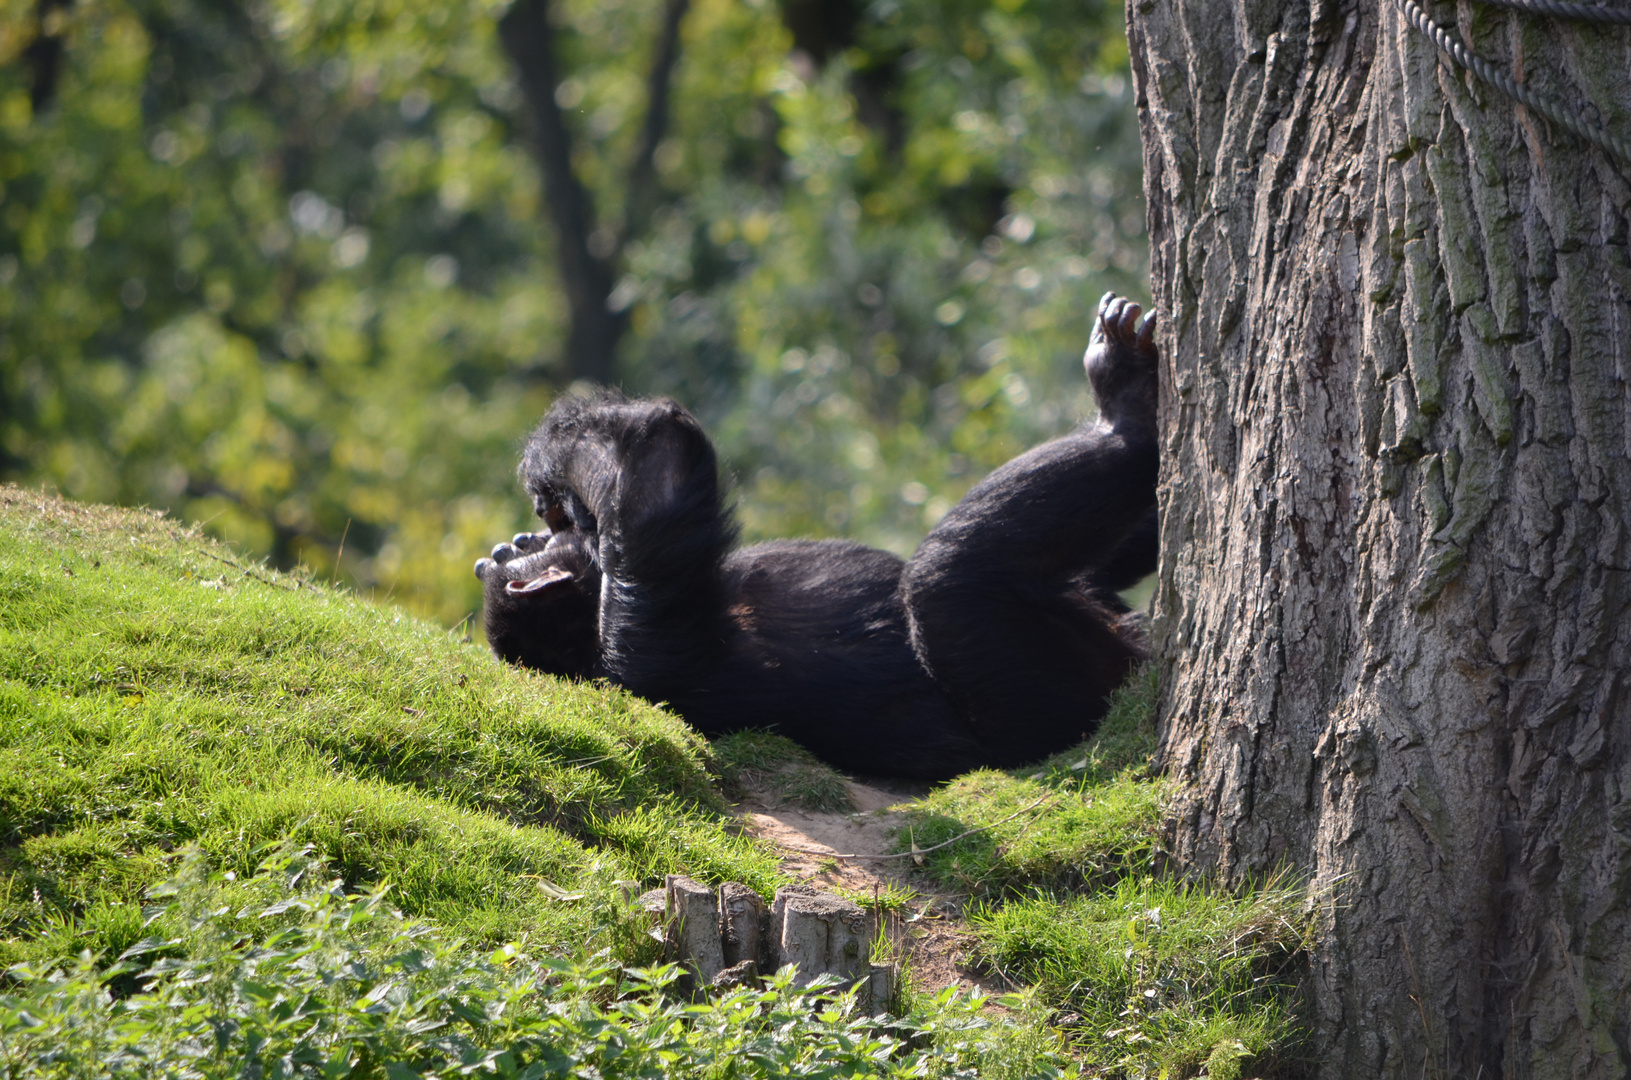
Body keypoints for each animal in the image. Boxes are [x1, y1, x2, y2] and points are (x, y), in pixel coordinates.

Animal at [472, 292, 1161, 783]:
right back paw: (1126, 407)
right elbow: (654, 466)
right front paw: (548, 470)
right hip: (1049, 694)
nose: (513, 543)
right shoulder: (643, 653)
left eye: (515, 549)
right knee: (943, 575)